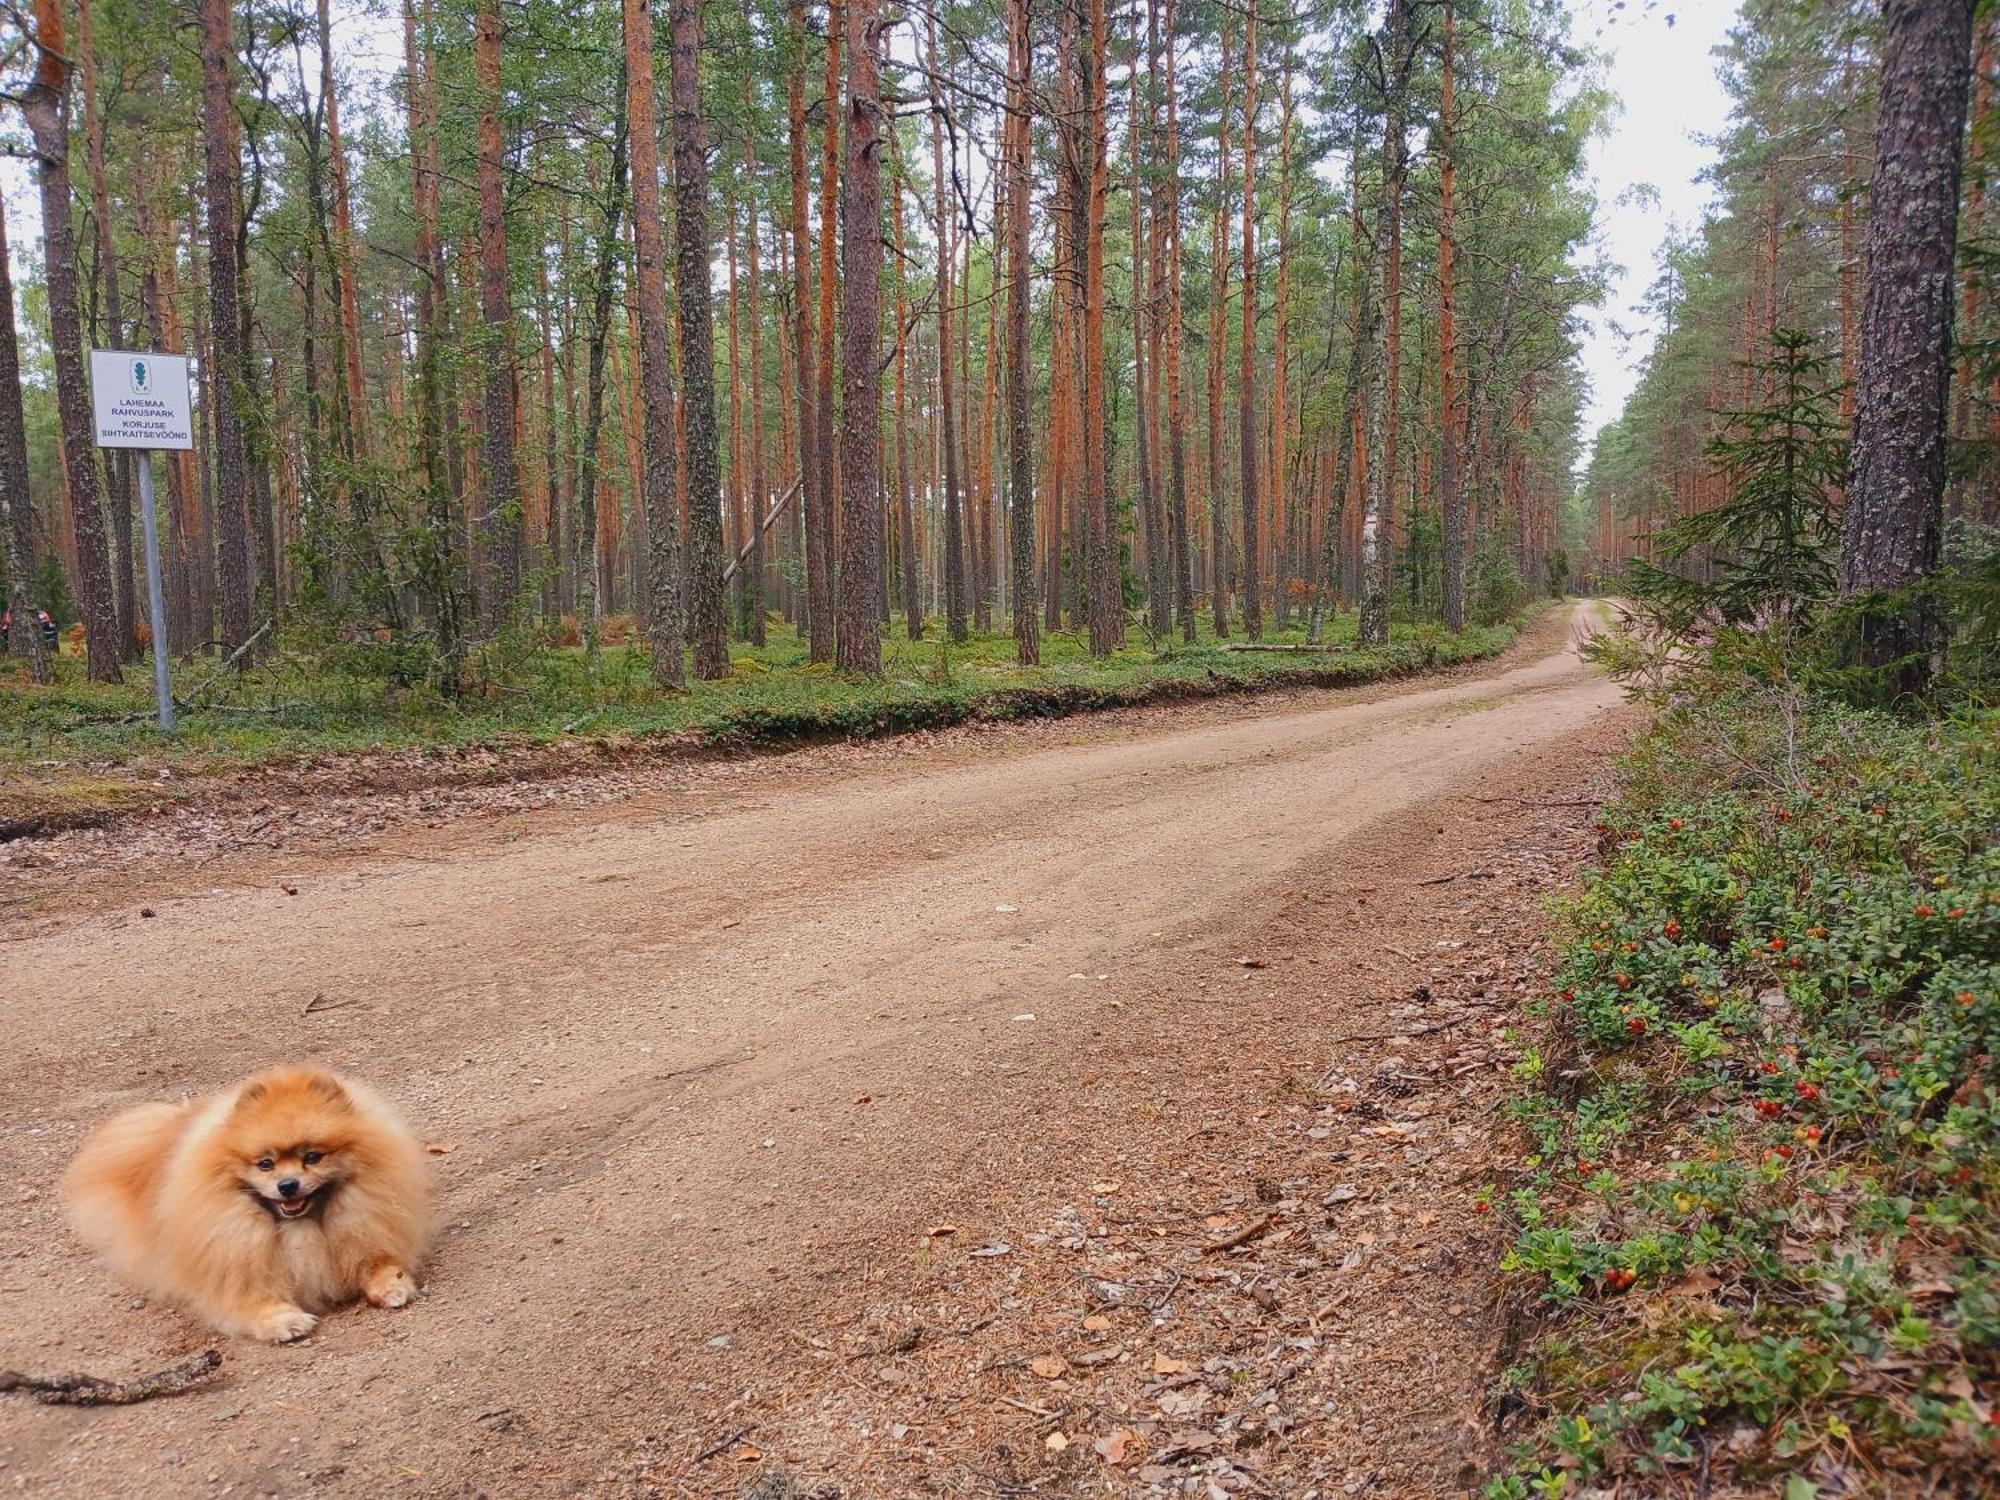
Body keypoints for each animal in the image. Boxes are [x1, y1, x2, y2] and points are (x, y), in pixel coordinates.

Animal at [63, 1064, 434, 1344]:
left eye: (312, 1157)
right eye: (265, 1164)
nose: (288, 1185)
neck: (301, 1229)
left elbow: (378, 1261)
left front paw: (392, 1284)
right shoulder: (232, 1267)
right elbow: (254, 1301)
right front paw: (284, 1320)